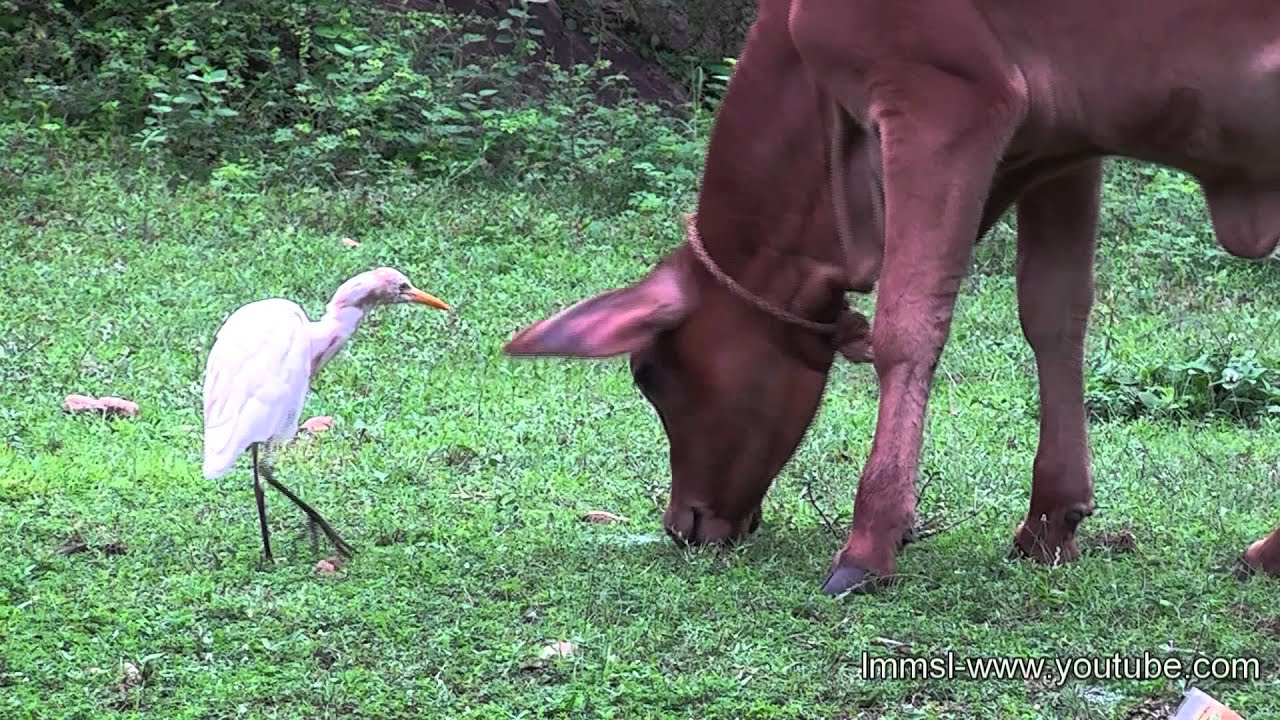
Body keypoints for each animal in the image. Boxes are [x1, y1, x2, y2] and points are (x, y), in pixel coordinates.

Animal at [502, 0, 1280, 597]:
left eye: (650, 375)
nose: (682, 526)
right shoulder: (1068, 140)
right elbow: (1053, 313)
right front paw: (1050, 520)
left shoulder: (944, 98)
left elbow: (909, 324)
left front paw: (869, 543)